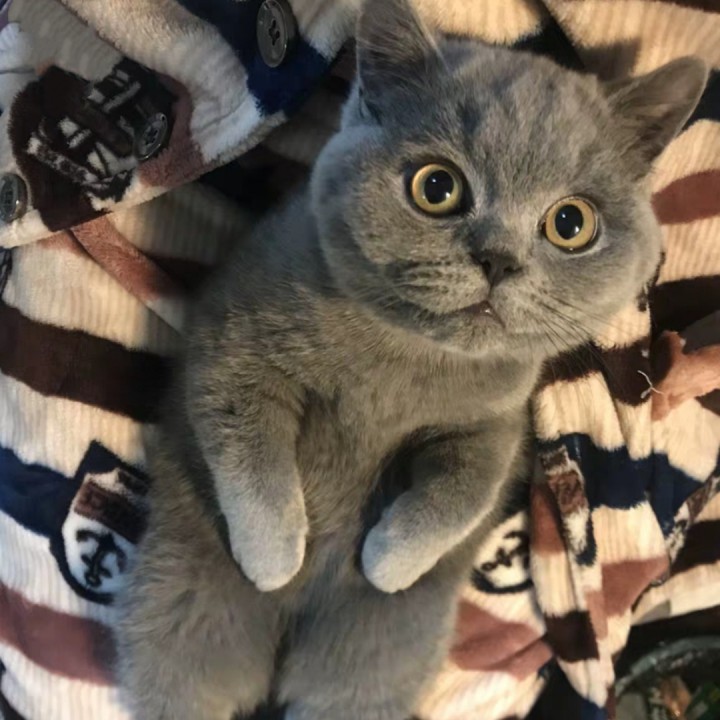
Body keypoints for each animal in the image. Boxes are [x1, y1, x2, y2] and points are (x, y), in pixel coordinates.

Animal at [116, 0, 706, 718]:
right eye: (437, 187)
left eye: (571, 224)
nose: (498, 259)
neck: (405, 362)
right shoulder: (236, 349)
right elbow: (250, 456)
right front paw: (274, 557)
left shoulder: (495, 426)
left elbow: (461, 492)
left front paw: (386, 563)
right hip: (182, 609)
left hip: (375, 657)